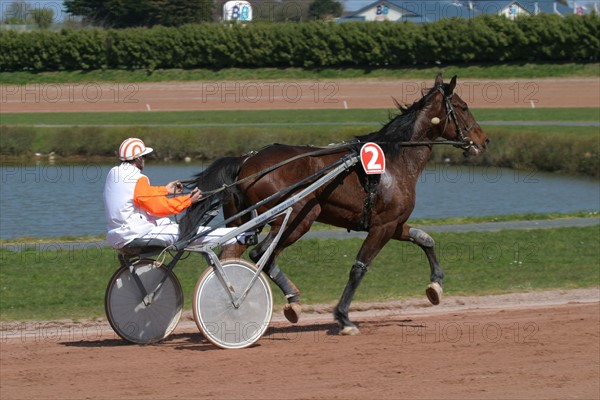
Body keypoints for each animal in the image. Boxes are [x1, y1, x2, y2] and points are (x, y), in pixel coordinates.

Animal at [180, 74, 490, 334]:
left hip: (246, 221)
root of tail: (245, 161)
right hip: (298, 216)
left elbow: (425, 239)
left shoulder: (393, 223)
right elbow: (359, 267)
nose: (483, 140)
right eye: (463, 107)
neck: (395, 159)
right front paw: (343, 317)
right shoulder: (383, 226)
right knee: (261, 254)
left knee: (232, 255)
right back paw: (282, 301)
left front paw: (435, 285)